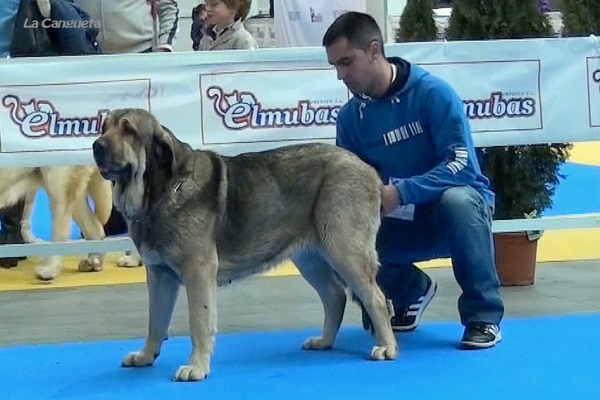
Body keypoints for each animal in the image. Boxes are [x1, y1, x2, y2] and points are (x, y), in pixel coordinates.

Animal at [91, 108, 396, 382]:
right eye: (104, 127)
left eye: (129, 130)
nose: (97, 145)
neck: (160, 192)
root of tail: (369, 169)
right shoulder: (158, 275)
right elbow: (155, 321)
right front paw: (145, 356)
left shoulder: (198, 272)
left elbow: (199, 322)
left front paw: (196, 367)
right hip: (311, 259)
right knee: (335, 296)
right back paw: (324, 341)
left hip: (344, 250)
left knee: (377, 298)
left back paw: (387, 347)